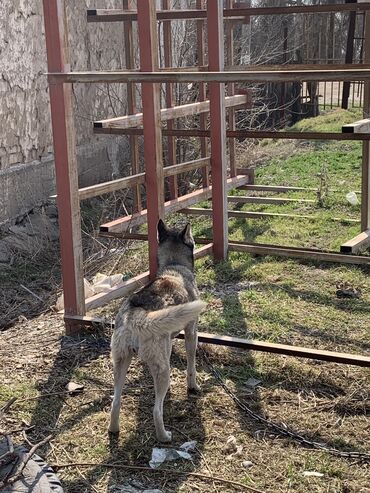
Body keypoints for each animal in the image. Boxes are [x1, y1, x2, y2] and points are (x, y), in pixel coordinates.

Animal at [108, 219, 207, 442]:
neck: (174, 266)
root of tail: (134, 316)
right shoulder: (191, 332)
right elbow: (191, 366)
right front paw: (193, 387)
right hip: (162, 372)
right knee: (156, 411)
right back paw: (165, 437)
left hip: (121, 363)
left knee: (115, 402)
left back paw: (114, 430)